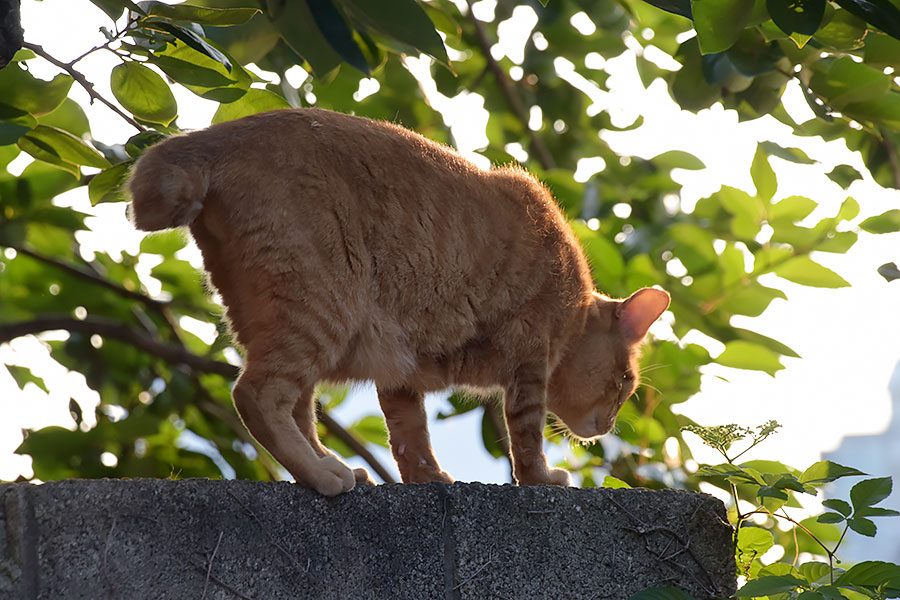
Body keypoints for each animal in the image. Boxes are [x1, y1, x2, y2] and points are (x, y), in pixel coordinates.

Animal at [130, 109, 672, 496]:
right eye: (626, 383)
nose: (609, 426)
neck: (573, 302)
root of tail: (209, 137)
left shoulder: (399, 371)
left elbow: (411, 438)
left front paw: (430, 479)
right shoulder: (530, 359)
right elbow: (527, 438)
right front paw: (542, 478)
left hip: (283, 322)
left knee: (297, 406)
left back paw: (328, 464)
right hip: (320, 310)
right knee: (255, 395)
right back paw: (322, 476)